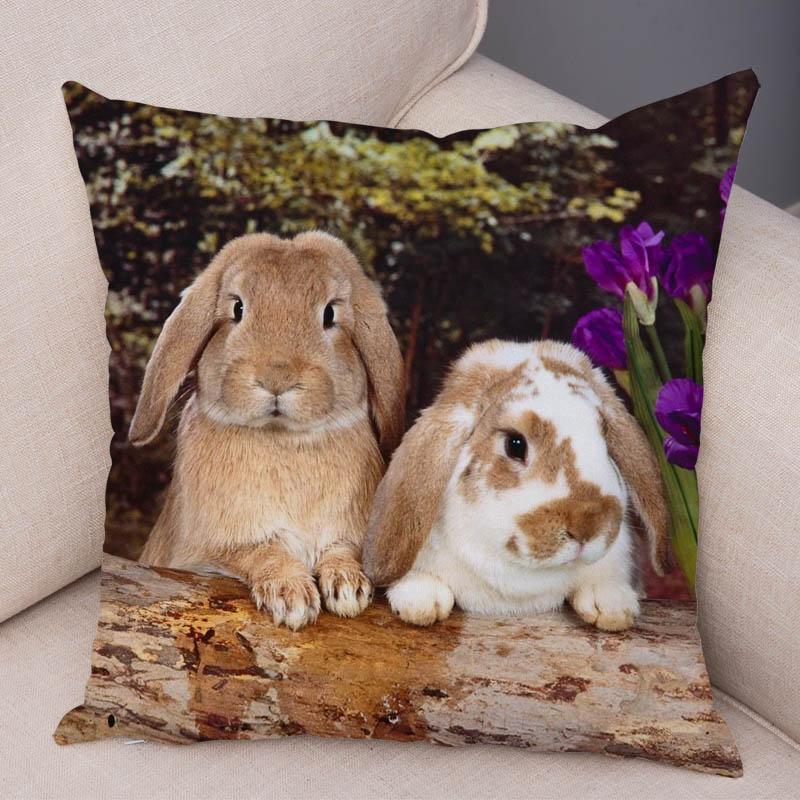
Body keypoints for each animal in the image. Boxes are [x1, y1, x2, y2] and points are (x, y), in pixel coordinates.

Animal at [129, 231, 405, 630]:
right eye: (237, 309)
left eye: (330, 314)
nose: (277, 377)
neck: (284, 437)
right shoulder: (212, 551)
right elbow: (261, 552)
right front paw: (292, 598)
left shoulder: (347, 533)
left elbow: (341, 549)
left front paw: (349, 588)